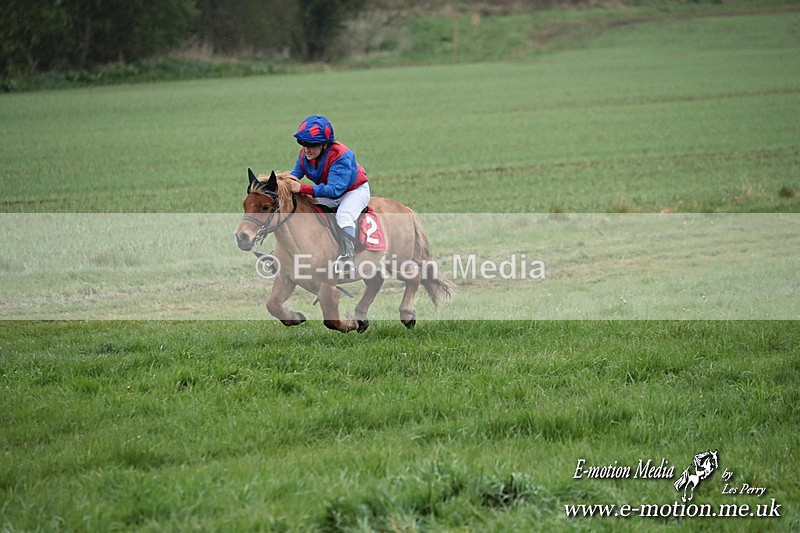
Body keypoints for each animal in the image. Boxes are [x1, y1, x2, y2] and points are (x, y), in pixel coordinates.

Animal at [235, 170, 455, 333]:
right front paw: (296, 316)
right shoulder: (287, 278)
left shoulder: (327, 286)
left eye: (265, 206)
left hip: (397, 261)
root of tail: (405, 208)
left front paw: (351, 323)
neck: (302, 238)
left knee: (414, 276)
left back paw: (406, 315)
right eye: (245, 204)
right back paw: (362, 315)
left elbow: (331, 320)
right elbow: (273, 305)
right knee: (376, 282)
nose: (242, 237)